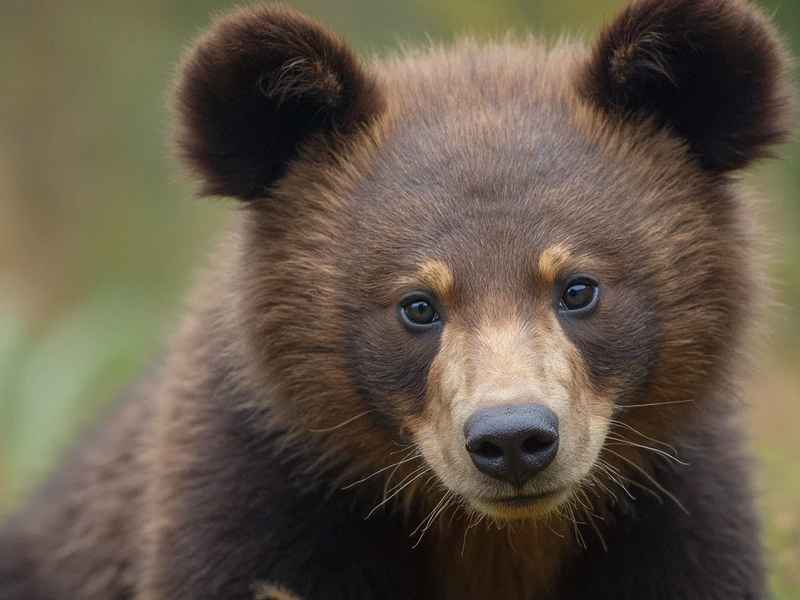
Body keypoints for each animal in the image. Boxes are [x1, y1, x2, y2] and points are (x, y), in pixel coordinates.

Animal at [0, 0, 794, 598]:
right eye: (417, 304)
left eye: (578, 287)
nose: (512, 440)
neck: (495, 540)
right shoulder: (256, 497)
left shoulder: (674, 510)